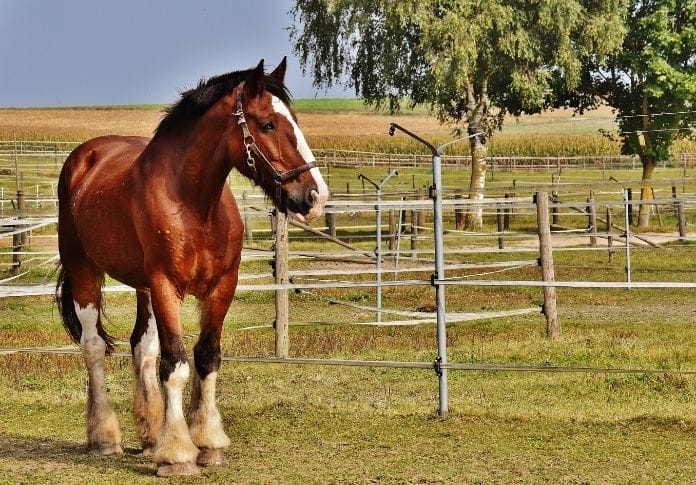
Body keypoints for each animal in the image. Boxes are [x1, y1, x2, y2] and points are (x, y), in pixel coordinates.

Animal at [55, 58, 329, 477]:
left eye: (295, 120)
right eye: (268, 124)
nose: (315, 197)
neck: (194, 205)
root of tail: (84, 157)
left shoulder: (221, 286)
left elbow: (206, 357)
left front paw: (208, 442)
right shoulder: (166, 286)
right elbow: (177, 364)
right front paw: (178, 454)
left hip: (142, 288)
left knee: (142, 346)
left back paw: (151, 433)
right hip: (85, 271)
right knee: (94, 347)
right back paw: (104, 437)